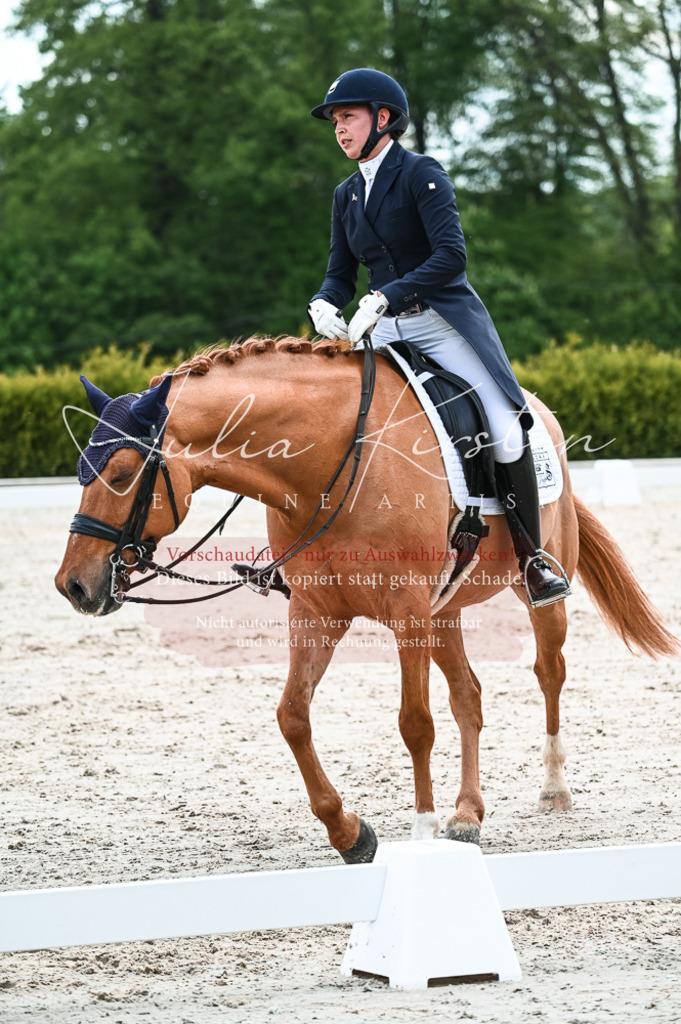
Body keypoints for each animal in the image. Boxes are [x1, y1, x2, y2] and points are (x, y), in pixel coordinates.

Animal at [55, 336, 679, 863]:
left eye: (121, 472)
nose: (74, 586)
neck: (332, 462)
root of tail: (536, 406)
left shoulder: (406, 612)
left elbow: (415, 722)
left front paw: (421, 831)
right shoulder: (316, 614)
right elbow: (293, 716)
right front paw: (350, 833)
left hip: (534, 592)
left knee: (549, 671)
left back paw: (552, 789)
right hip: (444, 611)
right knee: (469, 696)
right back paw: (467, 815)